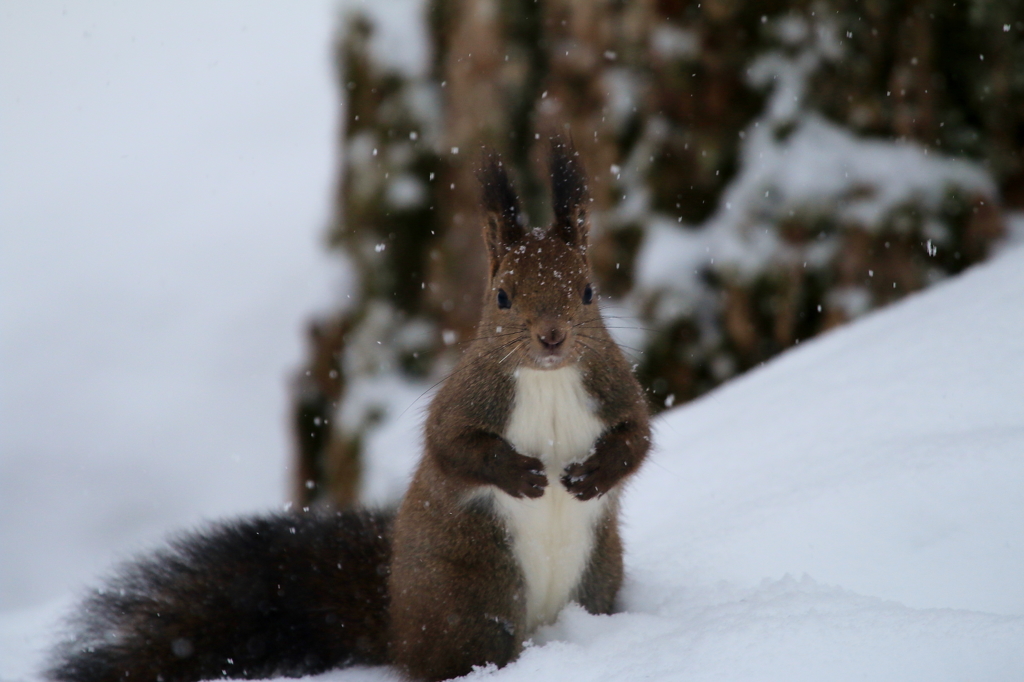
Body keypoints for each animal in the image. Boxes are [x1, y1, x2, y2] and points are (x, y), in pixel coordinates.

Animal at [48, 138, 647, 679]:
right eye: (502, 295)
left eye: (588, 291)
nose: (551, 337)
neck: (549, 379)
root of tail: (398, 624)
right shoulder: (464, 399)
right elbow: (452, 447)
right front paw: (522, 474)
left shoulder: (617, 389)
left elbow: (636, 439)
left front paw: (594, 475)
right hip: (473, 597)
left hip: (597, 575)